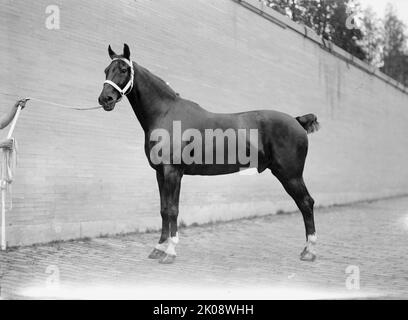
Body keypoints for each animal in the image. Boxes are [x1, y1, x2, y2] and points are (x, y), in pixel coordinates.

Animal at [98, 45, 318, 264]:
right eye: (106, 70)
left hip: (290, 175)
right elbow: (163, 210)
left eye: (123, 70)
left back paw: (309, 251)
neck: (166, 114)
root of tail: (297, 121)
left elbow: (173, 210)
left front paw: (170, 252)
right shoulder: (160, 173)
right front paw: (158, 248)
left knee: (306, 203)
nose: (105, 99)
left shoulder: (173, 172)